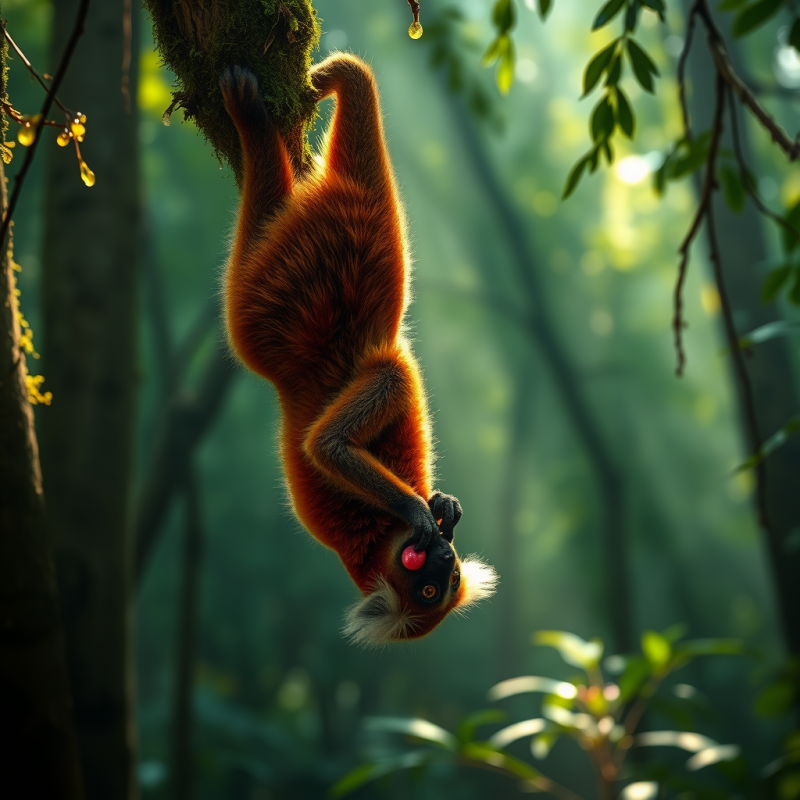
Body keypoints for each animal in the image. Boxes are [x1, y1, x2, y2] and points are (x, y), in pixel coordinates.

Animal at [219, 53, 497, 645]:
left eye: (446, 583)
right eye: (429, 588)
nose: (445, 555)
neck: (370, 541)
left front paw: (443, 505)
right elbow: (328, 448)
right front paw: (421, 507)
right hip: (314, 268)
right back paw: (281, 111)